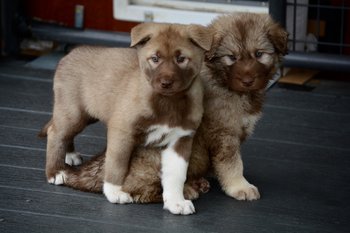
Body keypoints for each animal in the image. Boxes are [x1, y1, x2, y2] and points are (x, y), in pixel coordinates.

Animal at [43, 22, 213, 215]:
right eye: (155, 59)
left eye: (181, 59)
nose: (166, 83)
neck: (168, 102)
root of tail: (69, 55)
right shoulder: (122, 130)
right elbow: (117, 164)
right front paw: (114, 192)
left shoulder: (181, 139)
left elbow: (176, 175)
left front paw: (176, 202)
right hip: (73, 111)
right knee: (56, 133)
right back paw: (55, 172)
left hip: (84, 115)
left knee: (66, 133)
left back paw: (69, 155)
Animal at [57, 12, 288, 204]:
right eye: (231, 57)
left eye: (259, 54)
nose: (248, 81)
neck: (221, 79)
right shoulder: (223, 133)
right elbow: (232, 163)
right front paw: (240, 186)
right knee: (140, 190)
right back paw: (185, 191)